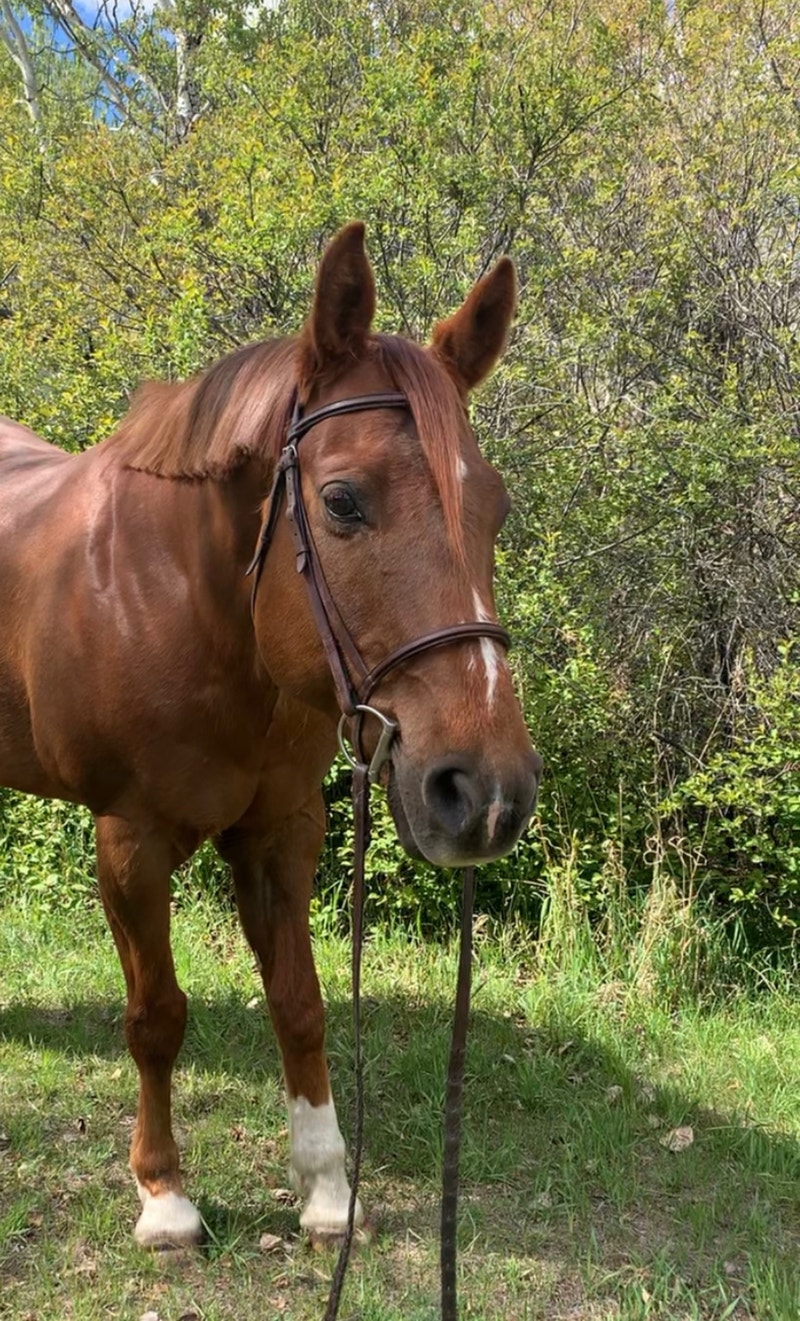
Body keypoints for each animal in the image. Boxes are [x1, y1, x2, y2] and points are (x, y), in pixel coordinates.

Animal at [0, 223, 541, 1249]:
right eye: (342, 501)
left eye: (494, 506)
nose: (486, 793)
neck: (194, 604)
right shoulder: (128, 843)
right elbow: (156, 1015)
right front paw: (165, 1197)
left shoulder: (279, 831)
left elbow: (300, 1002)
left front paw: (327, 1189)